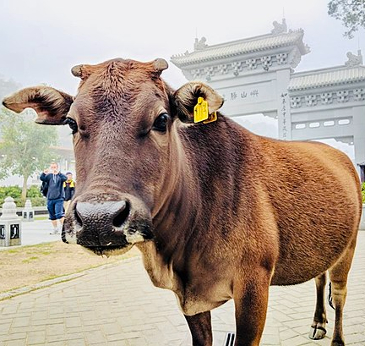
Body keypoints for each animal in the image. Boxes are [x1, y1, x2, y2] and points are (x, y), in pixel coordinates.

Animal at [3, 58, 362, 344]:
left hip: (349, 247)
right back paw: (317, 323)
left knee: (340, 294)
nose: (98, 219)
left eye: (162, 119)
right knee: (319, 278)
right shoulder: (190, 299)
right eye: (72, 123)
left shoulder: (254, 285)